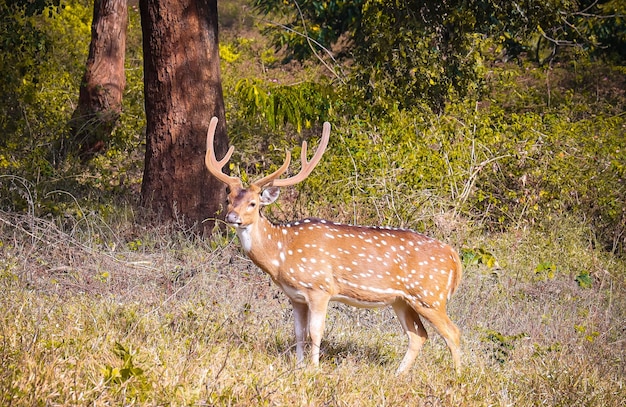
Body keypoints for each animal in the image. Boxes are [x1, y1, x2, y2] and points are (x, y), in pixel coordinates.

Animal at [202, 116, 460, 374]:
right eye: (228, 199)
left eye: (253, 203)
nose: (231, 217)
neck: (281, 253)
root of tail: (454, 257)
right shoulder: (295, 296)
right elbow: (298, 333)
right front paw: (298, 367)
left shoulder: (320, 287)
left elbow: (315, 332)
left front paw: (314, 369)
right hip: (402, 300)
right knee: (418, 334)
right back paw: (398, 375)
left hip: (430, 296)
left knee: (452, 333)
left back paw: (458, 375)